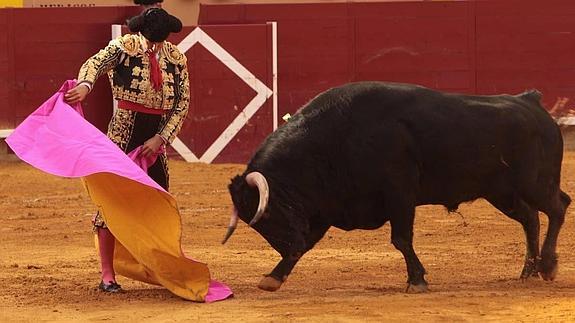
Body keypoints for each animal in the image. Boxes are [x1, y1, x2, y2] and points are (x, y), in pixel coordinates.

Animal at [223, 81, 568, 294]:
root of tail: (530, 101)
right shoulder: (325, 208)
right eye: (258, 225)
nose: (289, 246)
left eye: (267, 215)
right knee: (531, 218)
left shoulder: (399, 194)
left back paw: (549, 266)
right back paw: (528, 272)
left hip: (534, 183)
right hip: (502, 193)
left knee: (558, 206)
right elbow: (308, 244)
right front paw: (273, 278)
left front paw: (416, 281)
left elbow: (401, 239)